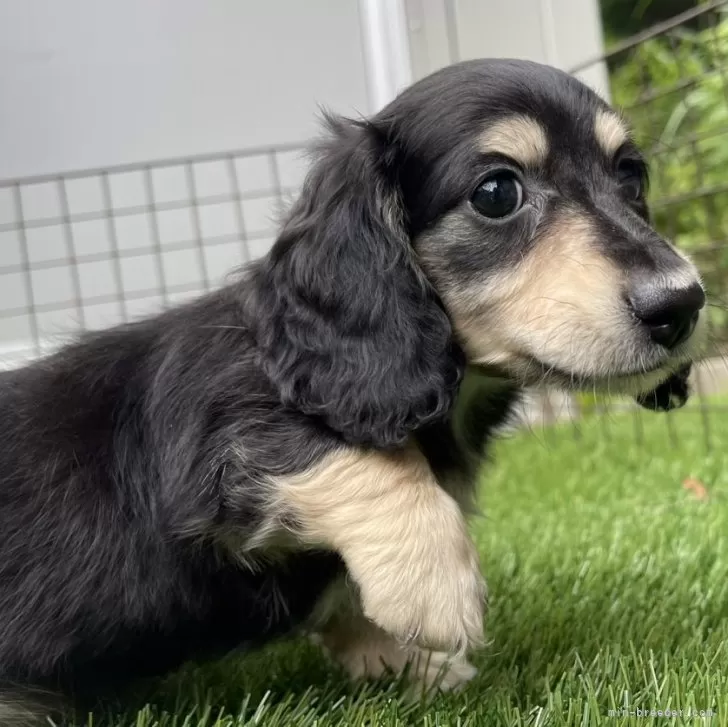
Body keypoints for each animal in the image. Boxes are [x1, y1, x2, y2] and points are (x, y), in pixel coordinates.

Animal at [0, 58, 704, 724]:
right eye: (497, 192)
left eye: (632, 177)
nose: (683, 304)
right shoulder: (211, 436)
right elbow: (351, 453)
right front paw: (431, 588)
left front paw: (405, 658)